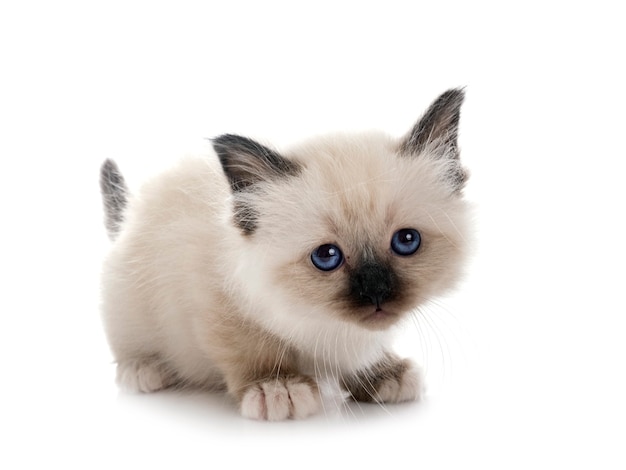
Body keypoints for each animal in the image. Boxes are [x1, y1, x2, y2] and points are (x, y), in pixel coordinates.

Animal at [98, 89, 468, 422]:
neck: (317, 318)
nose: (377, 292)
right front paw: (276, 387)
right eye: (326, 256)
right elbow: (250, 348)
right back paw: (144, 369)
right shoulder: (212, 300)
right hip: (126, 302)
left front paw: (381, 373)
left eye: (406, 241)